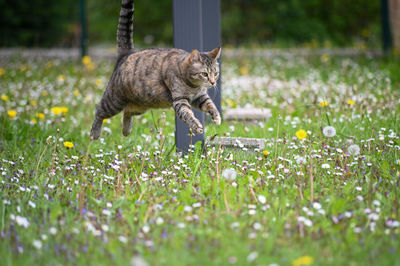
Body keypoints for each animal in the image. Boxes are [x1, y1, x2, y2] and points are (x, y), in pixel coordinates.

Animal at [89, 0, 222, 141]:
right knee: (99, 111)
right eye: (204, 74)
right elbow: (188, 115)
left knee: (127, 112)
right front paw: (196, 126)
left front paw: (217, 118)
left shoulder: (200, 97)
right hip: (114, 101)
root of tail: (127, 54)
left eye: (215, 73)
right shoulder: (180, 100)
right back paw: (94, 134)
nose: (213, 82)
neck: (194, 87)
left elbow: (210, 104)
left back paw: (126, 130)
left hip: (140, 106)